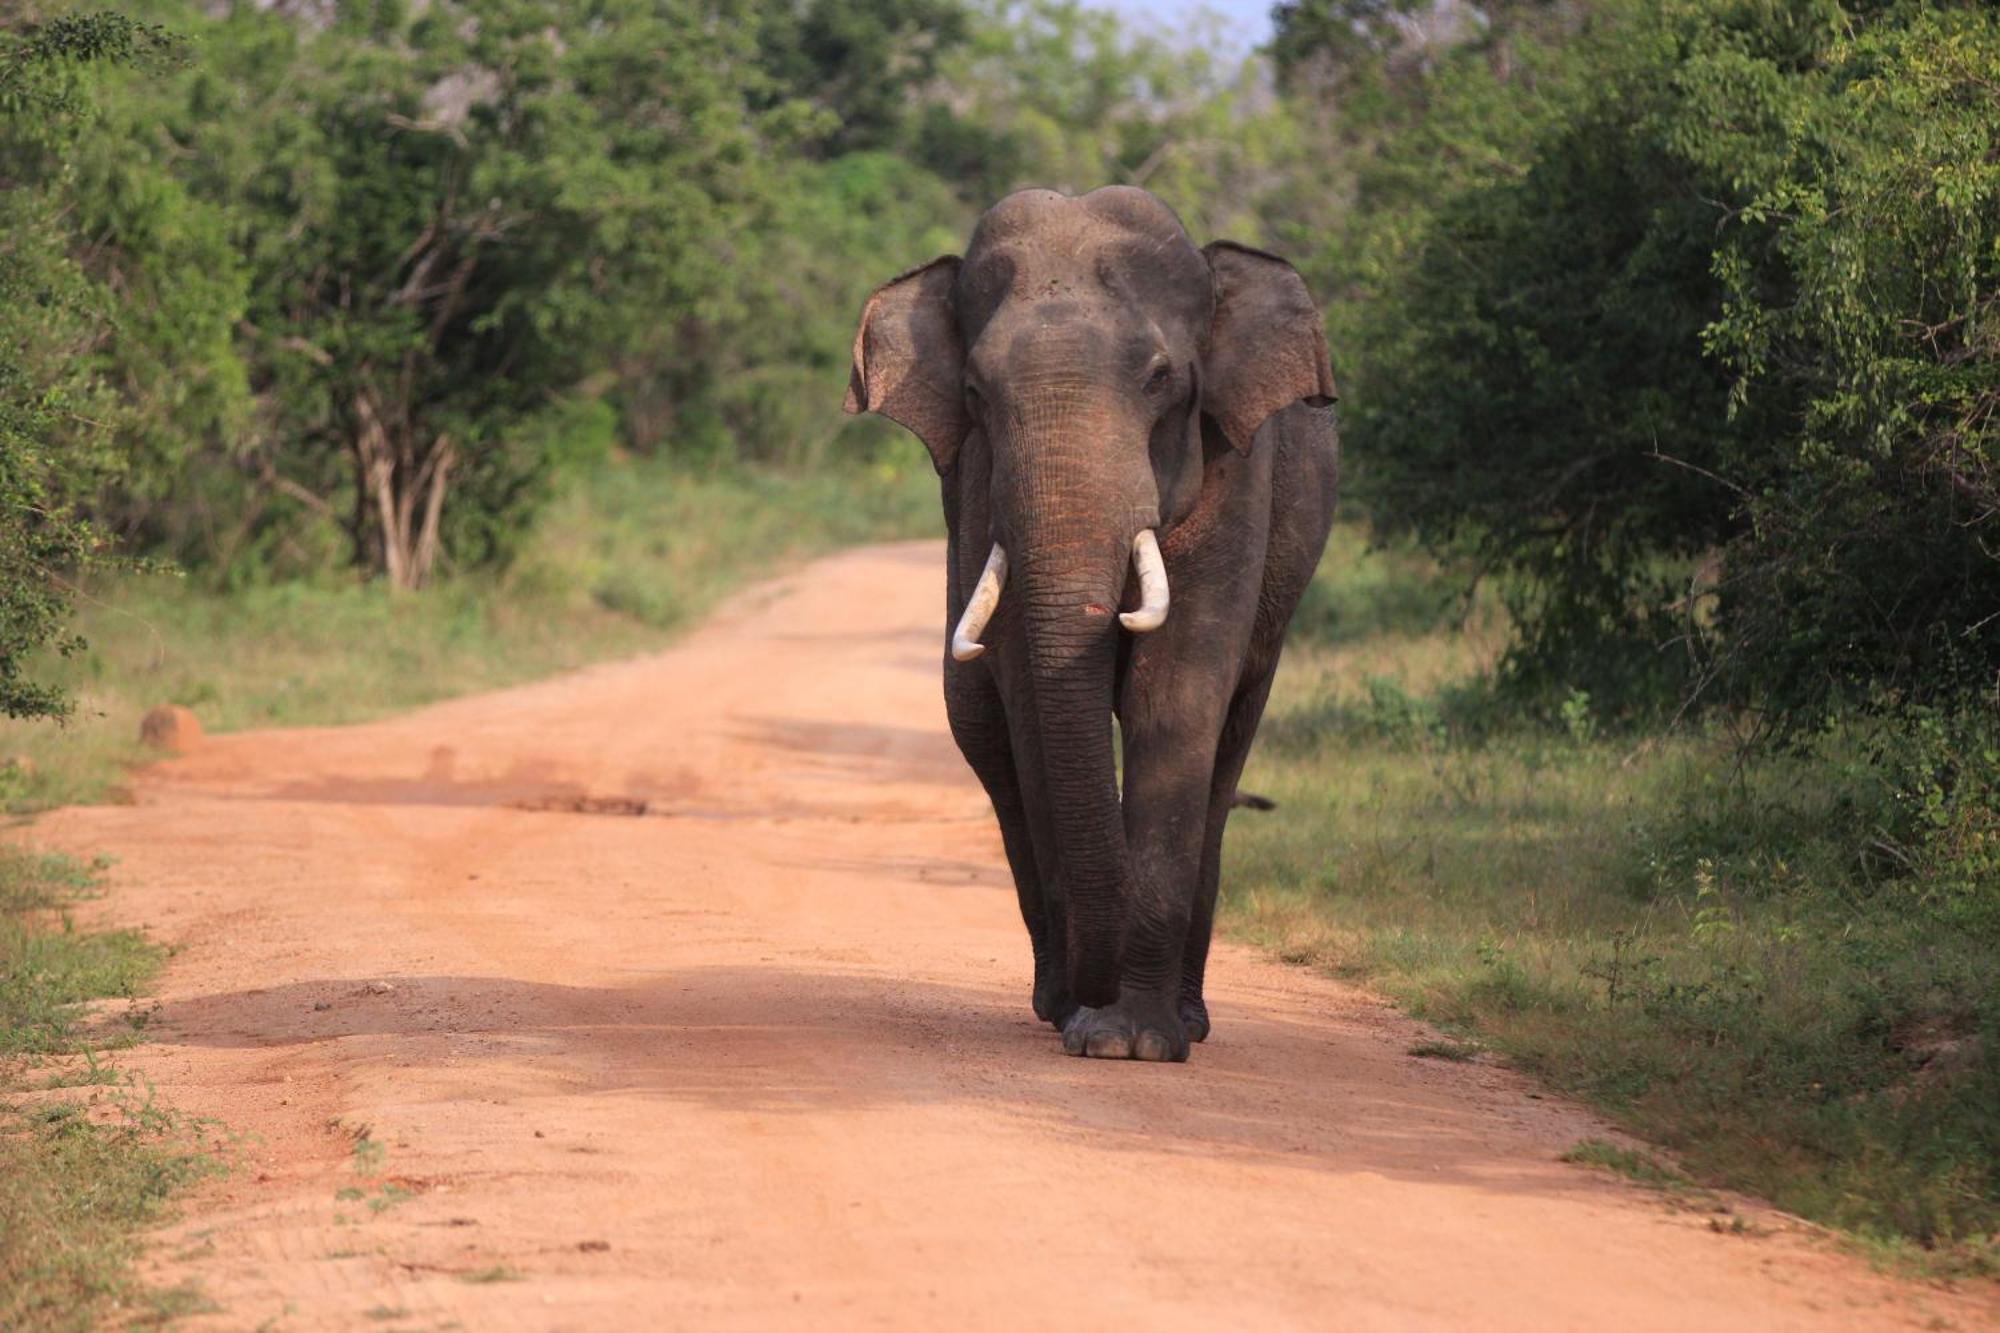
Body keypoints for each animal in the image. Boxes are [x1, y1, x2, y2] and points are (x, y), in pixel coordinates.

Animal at [848, 187, 1344, 1056]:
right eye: (975, 393)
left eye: (1160, 378)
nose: (1094, 998)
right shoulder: (981, 490)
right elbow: (1030, 701)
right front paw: (1092, 1021)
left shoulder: (1235, 471)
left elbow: (1174, 698)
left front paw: (1131, 1042)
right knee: (980, 727)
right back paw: (1057, 998)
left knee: (1227, 747)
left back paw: (1184, 1018)